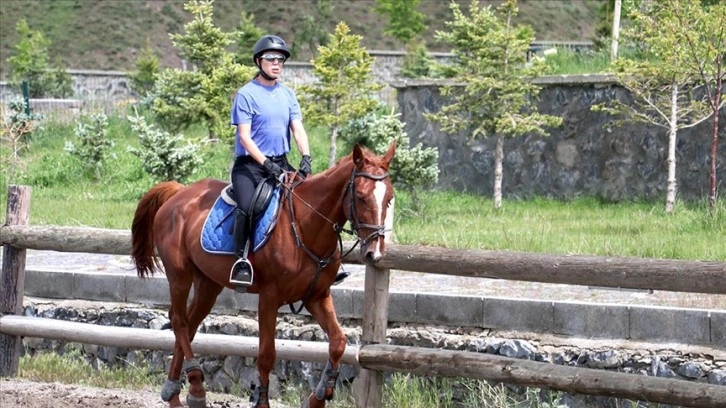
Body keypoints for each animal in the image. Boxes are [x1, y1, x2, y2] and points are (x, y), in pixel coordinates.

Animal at [131, 142, 398, 406]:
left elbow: (338, 343)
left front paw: (320, 395)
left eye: (389, 198)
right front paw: (262, 400)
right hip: (180, 274)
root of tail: (179, 192)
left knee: (189, 325)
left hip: (208, 283)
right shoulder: (269, 298)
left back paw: (175, 391)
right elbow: (267, 355)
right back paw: (194, 387)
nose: (374, 253)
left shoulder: (317, 296)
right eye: (361, 197)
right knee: (178, 320)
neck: (306, 225)